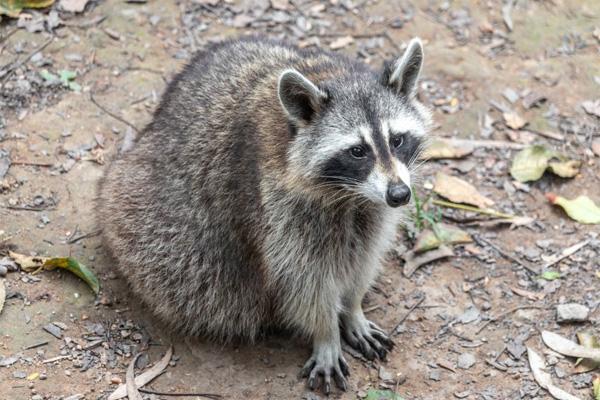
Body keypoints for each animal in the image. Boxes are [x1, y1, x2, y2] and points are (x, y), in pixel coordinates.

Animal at [99, 36, 432, 392]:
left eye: (397, 140)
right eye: (357, 151)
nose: (399, 195)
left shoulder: (371, 209)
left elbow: (364, 257)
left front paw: (353, 308)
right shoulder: (276, 208)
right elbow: (302, 280)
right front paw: (326, 332)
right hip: (154, 212)